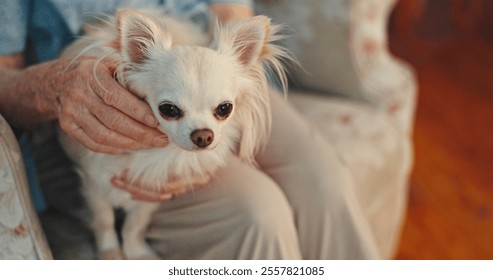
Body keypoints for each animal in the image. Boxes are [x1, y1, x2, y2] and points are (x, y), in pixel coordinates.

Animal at [58, 9, 288, 260]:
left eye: (225, 108)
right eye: (168, 109)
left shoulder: (151, 189)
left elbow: (135, 224)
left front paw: (136, 252)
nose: (203, 136)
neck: (162, 151)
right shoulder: (95, 186)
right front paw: (110, 252)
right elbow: (104, 221)